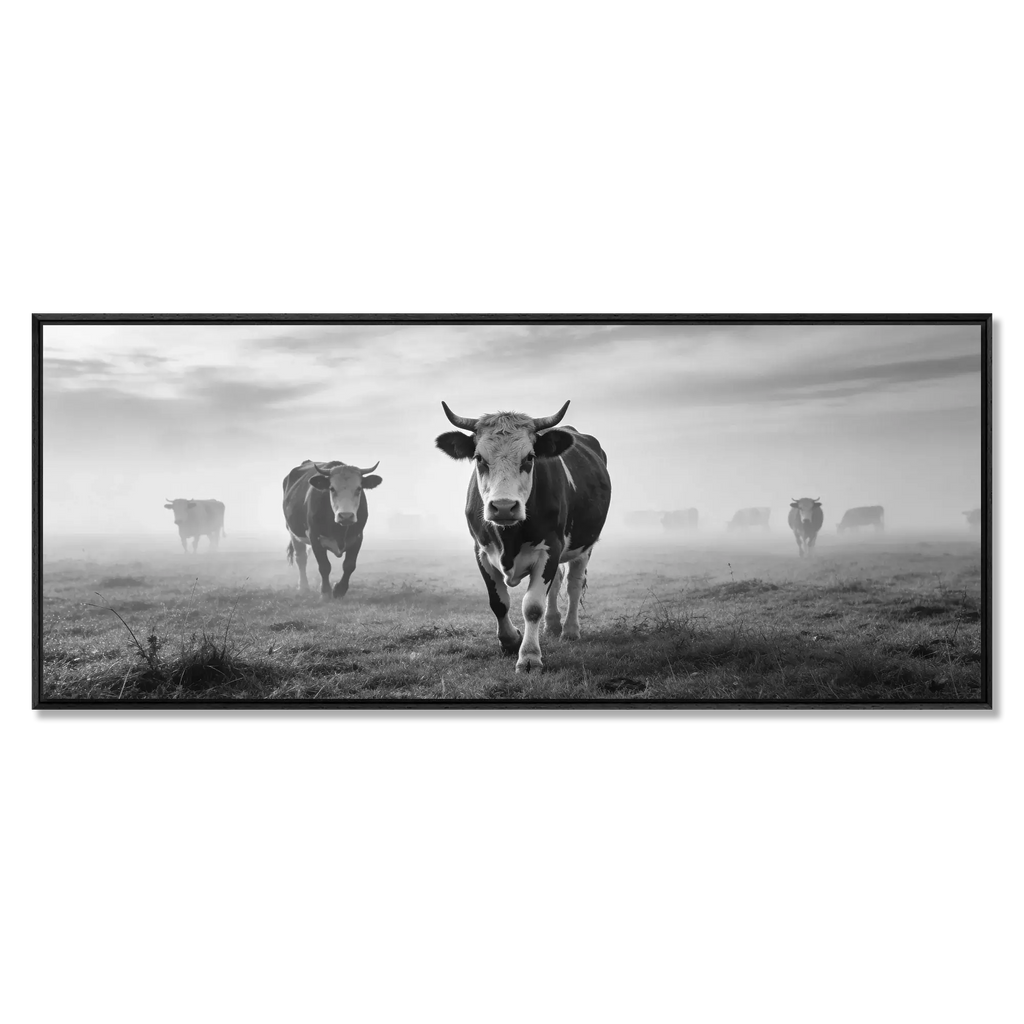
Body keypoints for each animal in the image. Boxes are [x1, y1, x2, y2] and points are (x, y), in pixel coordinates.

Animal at [282, 459, 382, 599]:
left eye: (359, 488)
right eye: (332, 489)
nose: (346, 516)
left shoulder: (358, 537)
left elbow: (349, 565)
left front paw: (339, 589)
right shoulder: (314, 537)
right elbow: (324, 566)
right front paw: (325, 592)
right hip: (293, 532)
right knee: (301, 558)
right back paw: (303, 587)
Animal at [436, 400, 611, 674]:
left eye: (529, 457)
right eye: (479, 458)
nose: (504, 507)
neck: (509, 539)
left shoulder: (550, 547)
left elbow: (532, 606)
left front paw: (529, 656)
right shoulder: (481, 551)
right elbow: (498, 602)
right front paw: (510, 641)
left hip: (585, 545)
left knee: (573, 583)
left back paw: (570, 630)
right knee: (557, 583)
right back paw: (553, 625)